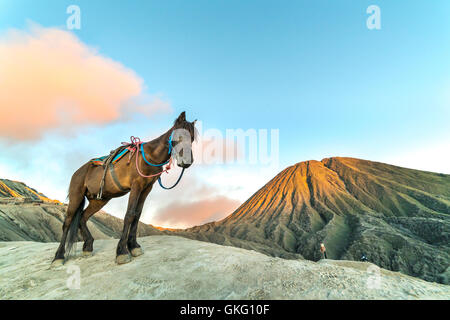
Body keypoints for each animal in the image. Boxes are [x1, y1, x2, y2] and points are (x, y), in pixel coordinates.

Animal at [51, 111, 196, 266]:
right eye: (179, 135)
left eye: (192, 138)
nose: (187, 162)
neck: (150, 156)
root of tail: (78, 172)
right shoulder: (136, 186)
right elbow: (130, 215)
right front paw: (122, 251)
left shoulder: (146, 189)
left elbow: (137, 215)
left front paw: (134, 246)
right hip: (76, 196)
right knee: (67, 222)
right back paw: (58, 257)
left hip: (99, 200)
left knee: (83, 217)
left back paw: (88, 247)